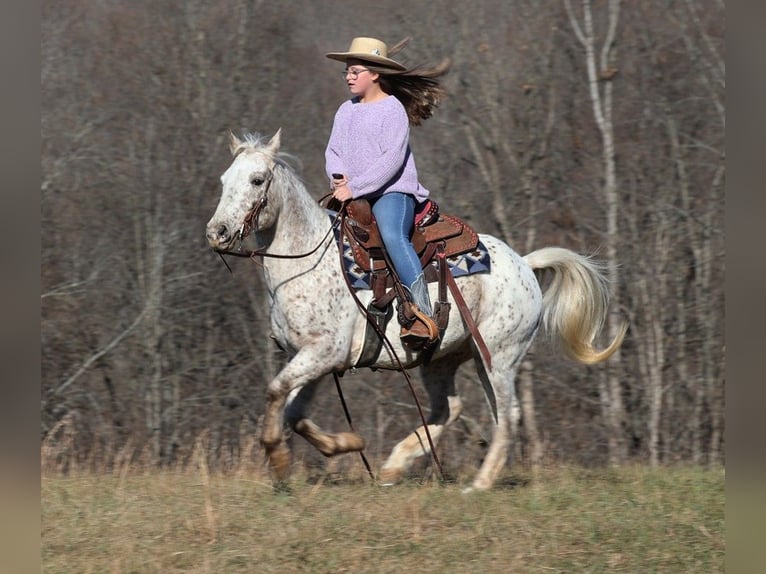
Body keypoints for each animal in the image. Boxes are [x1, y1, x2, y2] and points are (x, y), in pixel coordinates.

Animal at [207, 132, 628, 496]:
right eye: (225, 180)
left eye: (257, 180)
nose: (217, 232)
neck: (308, 261)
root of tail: (524, 263)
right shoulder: (315, 359)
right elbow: (294, 411)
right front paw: (346, 443)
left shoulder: (322, 352)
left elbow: (275, 392)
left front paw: (277, 458)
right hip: (441, 358)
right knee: (450, 408)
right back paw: (395, 466)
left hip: (498, 357)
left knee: (507, 415)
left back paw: (480, 483)